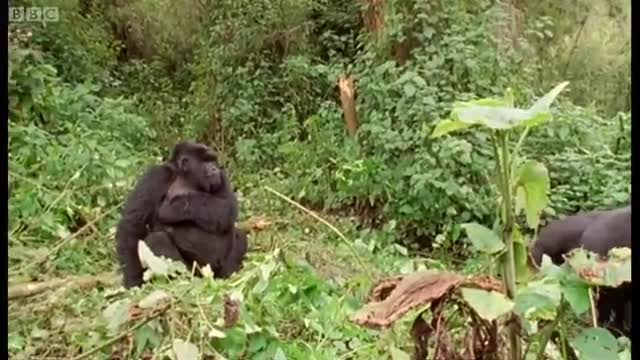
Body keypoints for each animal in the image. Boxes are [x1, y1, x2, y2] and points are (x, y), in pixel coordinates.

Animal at [115, 142, 248, 288]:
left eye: (213, 160)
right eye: (205, 161)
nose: (214, 168)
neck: (185, 177)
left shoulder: (221, 176)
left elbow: (227, 208)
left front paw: (174, 208)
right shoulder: (157, 175)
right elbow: (133, 223)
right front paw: (133, 278)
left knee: (240, 234)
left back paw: (229, 273)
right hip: (195, 272)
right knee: (158, 239)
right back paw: (181, 279)